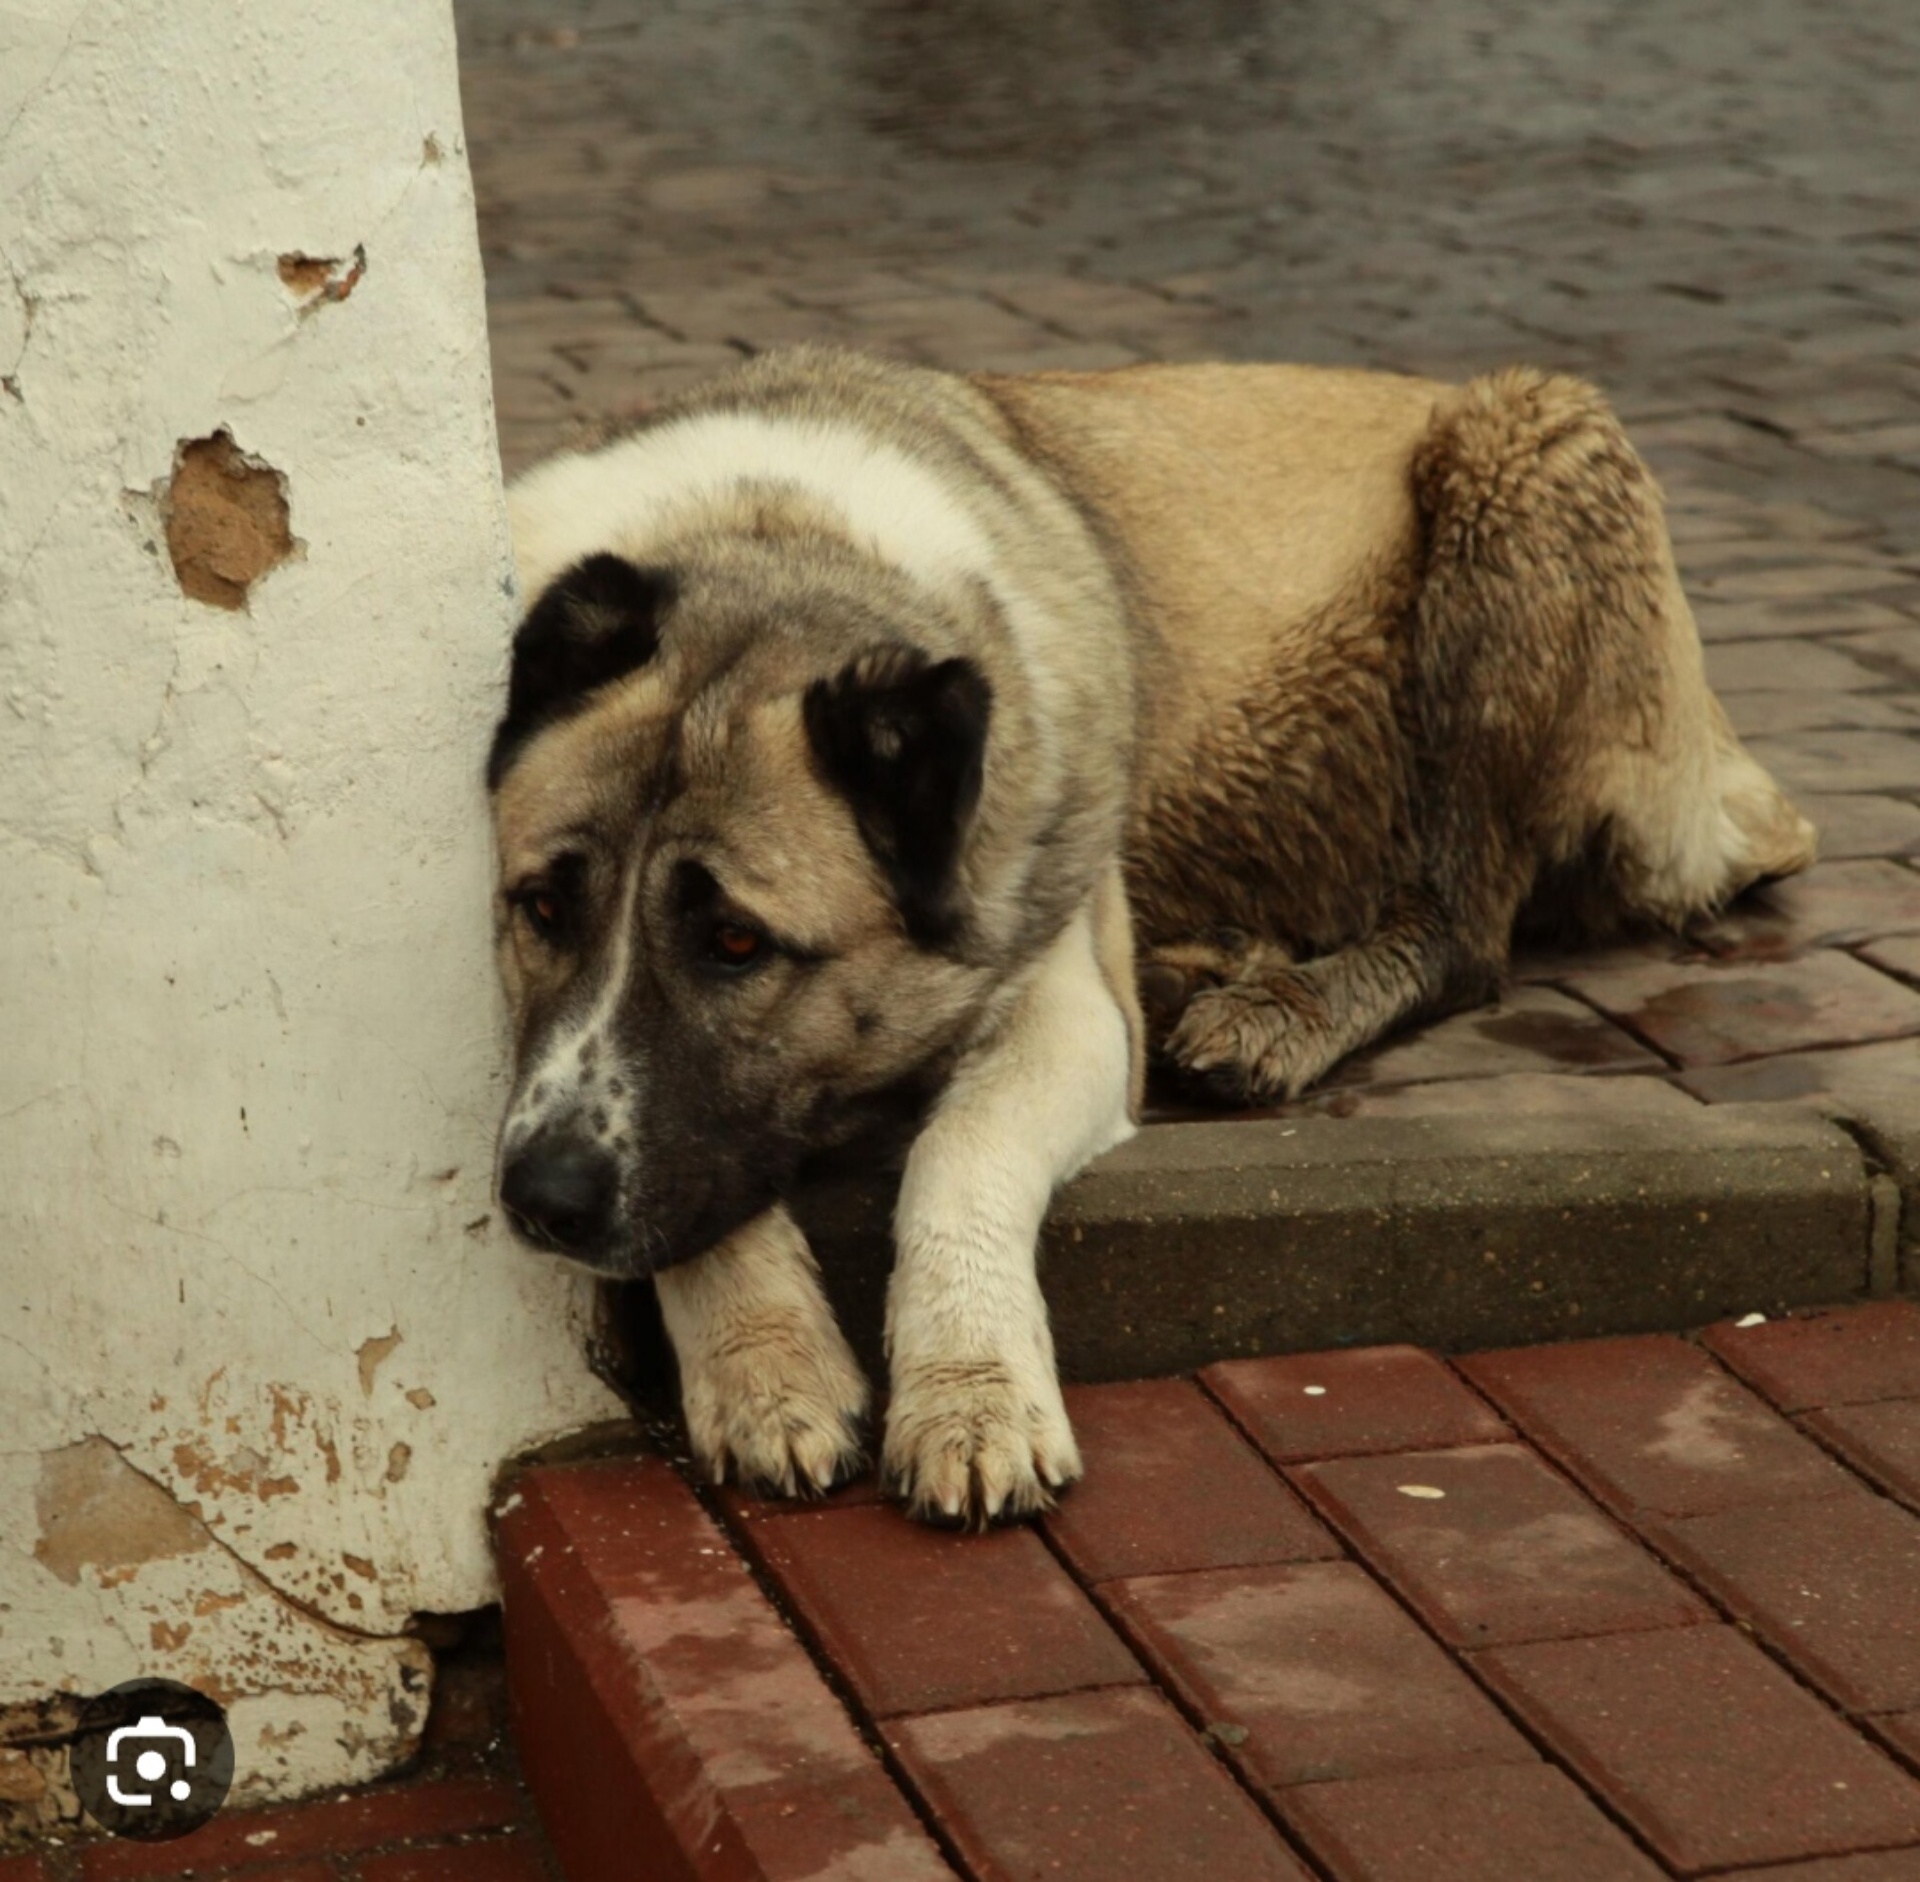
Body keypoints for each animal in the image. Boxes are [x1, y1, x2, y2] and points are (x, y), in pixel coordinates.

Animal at [480, 341, 1812, 1528]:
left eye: (737, 945)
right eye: (541, 909)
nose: (537, 1201)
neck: (770, 537)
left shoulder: (1062, 1003)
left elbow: (955, 1157)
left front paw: (970, 1397)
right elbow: (691, 1192)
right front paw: (767, 1366)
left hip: (1518, 474)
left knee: (1467, 930)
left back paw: (1277, 1013)